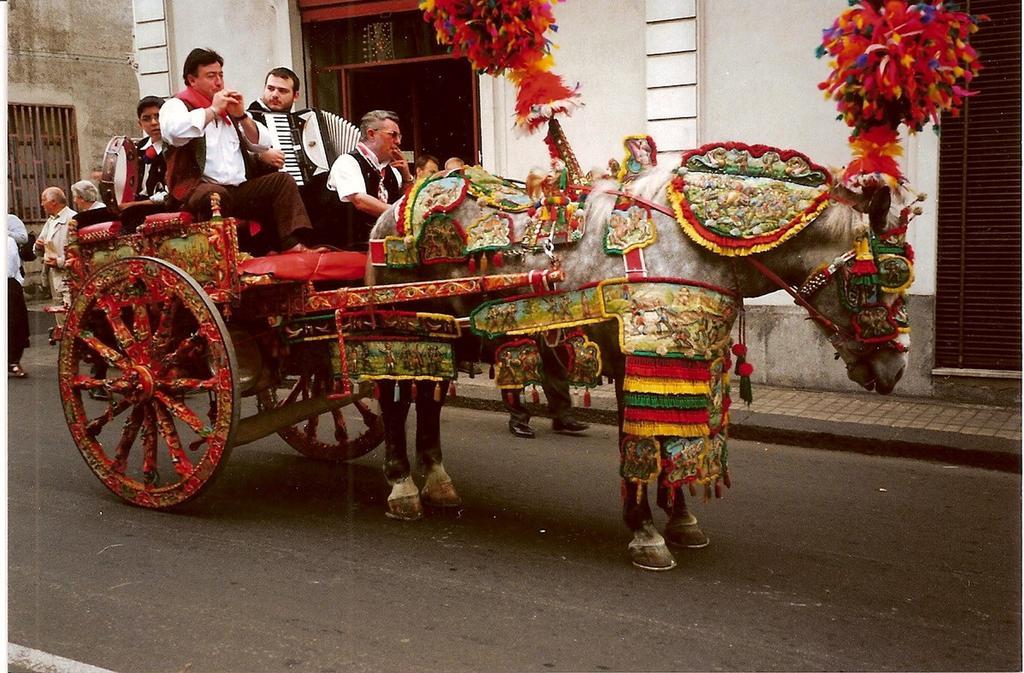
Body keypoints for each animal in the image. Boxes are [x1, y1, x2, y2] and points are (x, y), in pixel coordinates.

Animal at [362, 147, 921, 565]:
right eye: (871, 284)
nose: (896, 369)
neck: (690, 245)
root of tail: (399, 204)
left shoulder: (689, 361)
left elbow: (676, 436)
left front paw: (680, 520)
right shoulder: (646, 355)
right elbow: (647, 437)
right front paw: (647, 532)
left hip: (441, 336)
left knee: (428, 399)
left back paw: (437, 483)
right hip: (397, 327)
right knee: (393, 400)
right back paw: (402, 486)